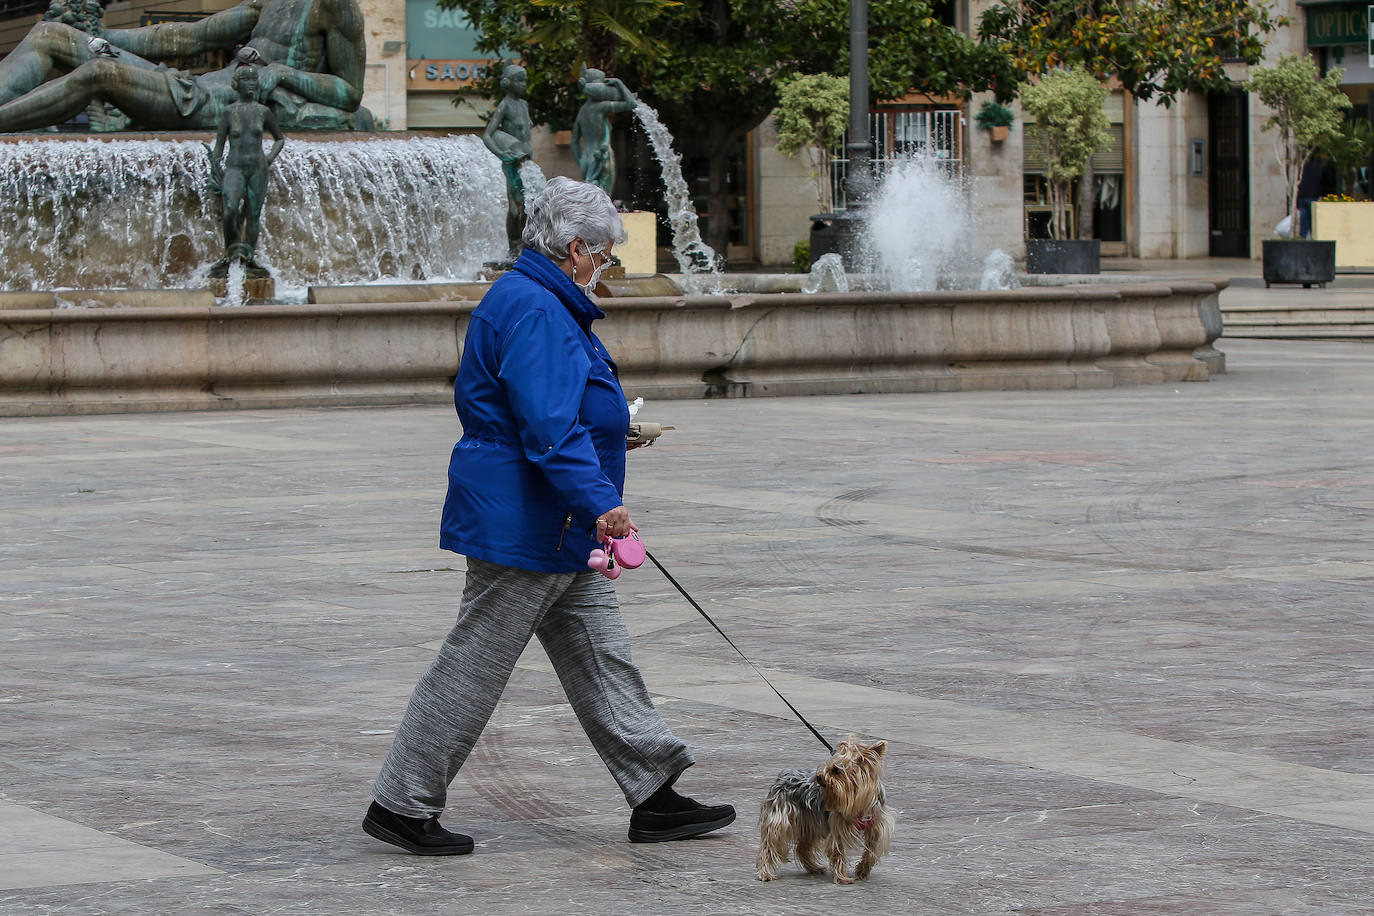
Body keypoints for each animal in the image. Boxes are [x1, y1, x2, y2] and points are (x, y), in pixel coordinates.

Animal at [758, 736, 895, 878]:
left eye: (836, 770)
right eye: (828, 766)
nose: (818, 777)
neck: (858, 802)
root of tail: (783, 776)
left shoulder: (876, 825)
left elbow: (872, 849)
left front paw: (863, 870)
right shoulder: (838, 827)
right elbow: (838, 852)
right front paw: (842, 877)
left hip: (811, 824)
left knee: (802, 848)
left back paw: (814, 868)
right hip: (781, 818)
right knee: (769, 844)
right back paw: (765, 873)